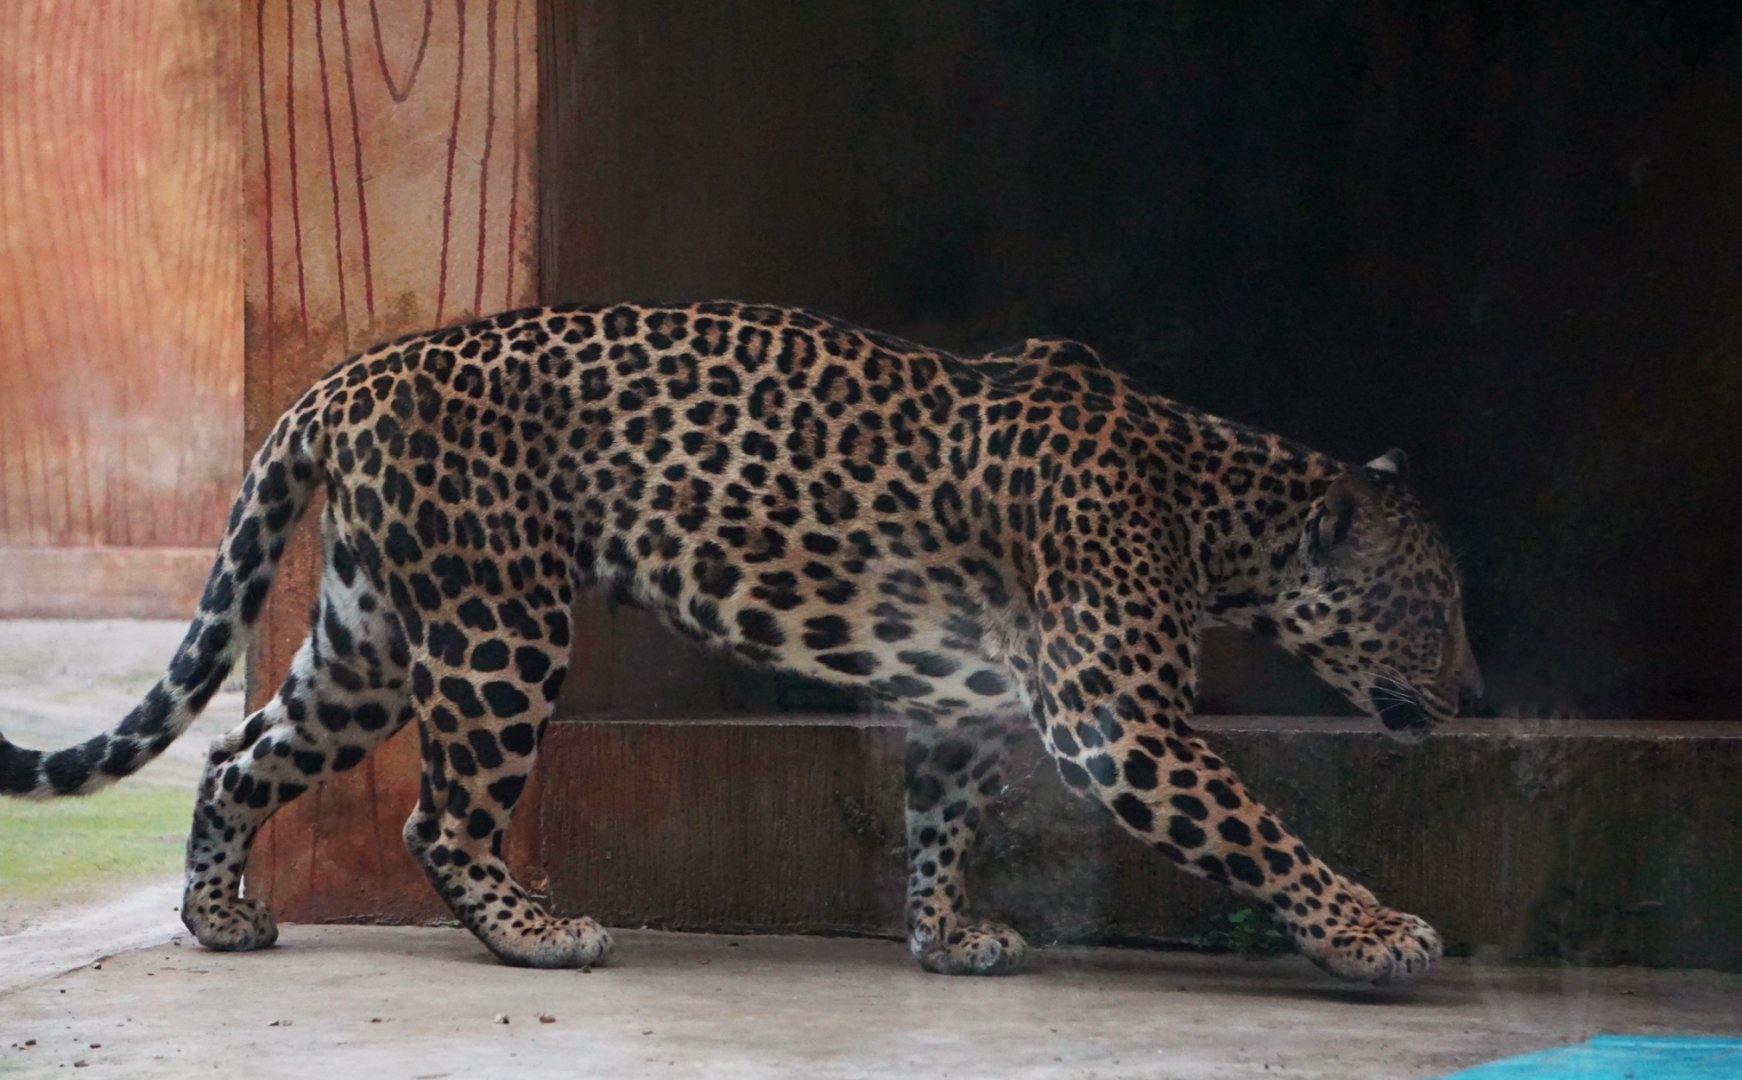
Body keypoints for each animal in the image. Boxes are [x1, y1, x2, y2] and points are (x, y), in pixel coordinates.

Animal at [0, 301, 1482, 985]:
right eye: (1432, 609)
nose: (1474, 695)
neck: (1217, 509)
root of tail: (351, 374)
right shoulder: (1117, 727)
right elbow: (1263, 832)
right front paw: (1374, 935)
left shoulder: (963, 704)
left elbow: (940, 821)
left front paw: (946, 939)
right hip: (497, 626)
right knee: (438, 816)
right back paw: (537, 935)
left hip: (366, 640)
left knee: (235, 758)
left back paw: (218, 914)